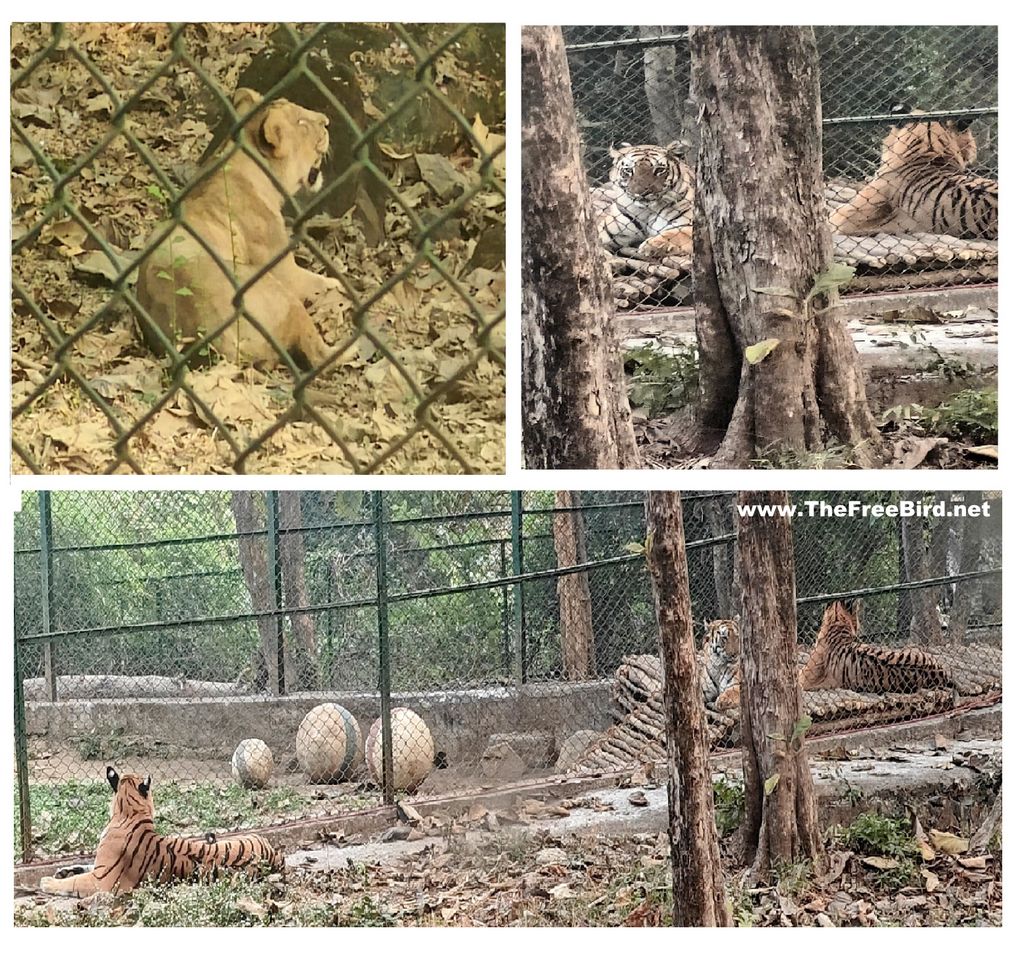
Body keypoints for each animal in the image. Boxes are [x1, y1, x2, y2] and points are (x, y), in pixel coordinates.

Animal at [38, 765, 284, 896]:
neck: (129, 813)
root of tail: (275, 854)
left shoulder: (102, 881)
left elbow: (73, 883)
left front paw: (48, 882)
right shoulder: (100, 867)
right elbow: (85, 865)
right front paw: (64, 870)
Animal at [134, 86, 344, 368]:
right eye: (301, 123)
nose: (327, 121)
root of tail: (217, 343)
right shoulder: (284, 270)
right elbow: (320, 282)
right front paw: (339, 286)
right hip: (278, 294)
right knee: (320, 356)